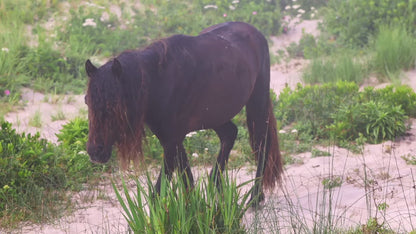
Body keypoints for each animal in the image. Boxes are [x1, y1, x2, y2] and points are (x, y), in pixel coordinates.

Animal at [84, 22, 282, 205]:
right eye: (87, 101)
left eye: (114, 104)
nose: (95, 152)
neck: (159, 82)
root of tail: (253, 30)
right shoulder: (171, 138)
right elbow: (187, 179)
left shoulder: (171, 142)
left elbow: (159, 191)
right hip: (215, 116)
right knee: (230, 134)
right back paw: (216, 185)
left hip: (257, 102)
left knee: (262, 144)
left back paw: (255, 196)